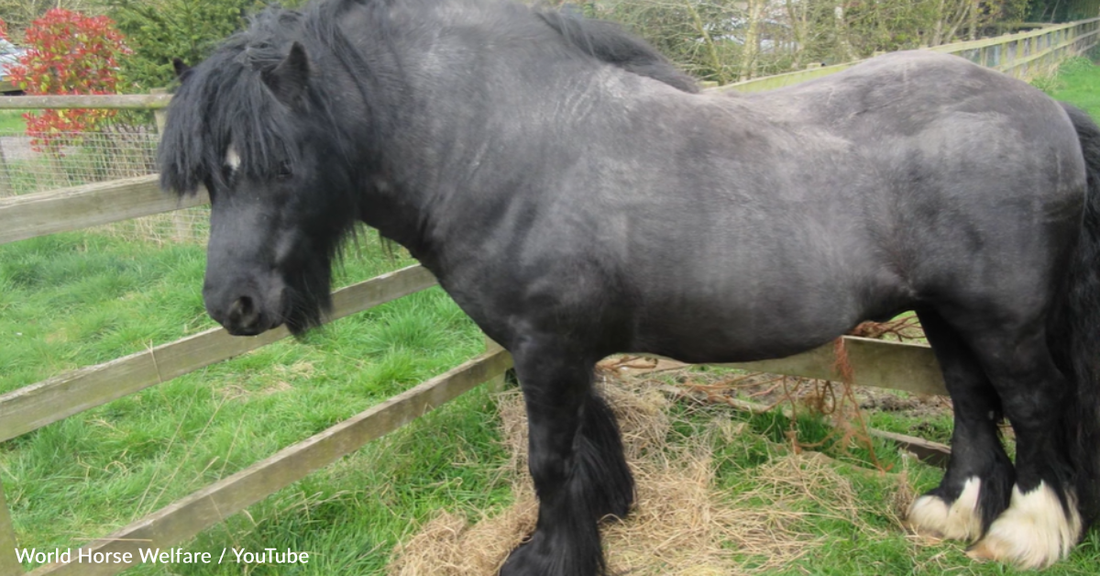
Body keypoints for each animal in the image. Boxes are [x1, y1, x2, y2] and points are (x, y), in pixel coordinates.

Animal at [159, 0, 1100, 571]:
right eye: (208, 175)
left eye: (280, 163)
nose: (233, 306)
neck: (499, 139)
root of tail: (1044, 110)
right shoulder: (557, 347)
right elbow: (584, 440)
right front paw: (605, 515)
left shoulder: (547, 344)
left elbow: (546, 458)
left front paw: (544, 557)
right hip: (947, 311)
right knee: (972, 401)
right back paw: (953, 513)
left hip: (1004, 316)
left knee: (1035, 401)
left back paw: (1027, 533)